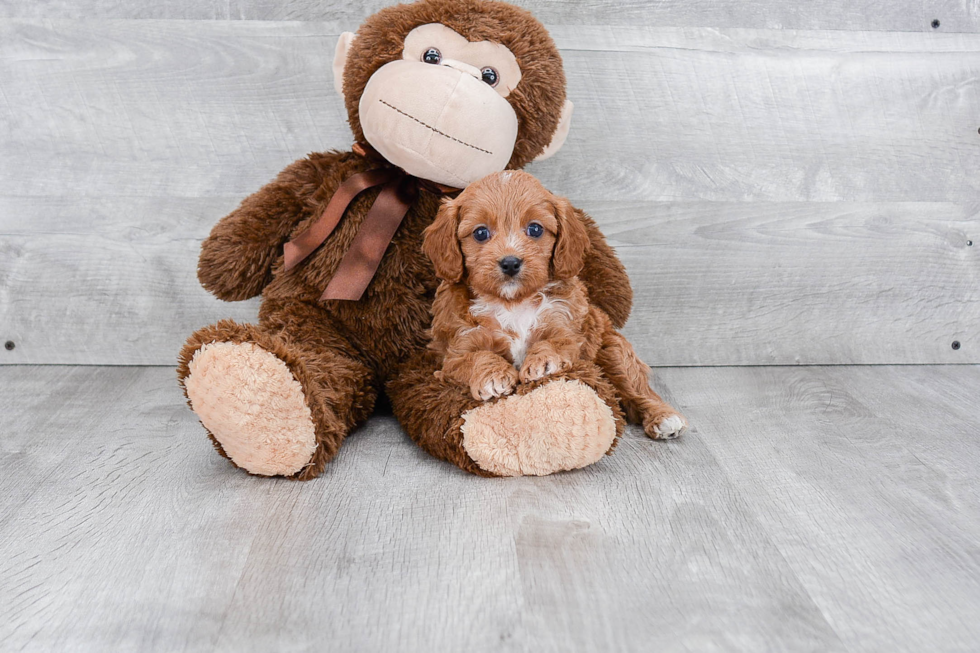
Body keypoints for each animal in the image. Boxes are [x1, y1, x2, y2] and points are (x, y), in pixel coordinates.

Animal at [422, 171, 688, 440]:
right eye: (480, 233)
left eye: (535, 229)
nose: (510, 263)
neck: (513, 302)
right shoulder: (455, 352)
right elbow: (477, 356)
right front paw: (493, 376)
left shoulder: (566, 328)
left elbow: (555, 341)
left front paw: (542, 362)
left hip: (614, 351)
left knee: (637, 389)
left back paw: (664, 417)